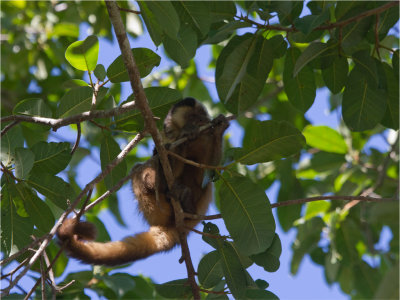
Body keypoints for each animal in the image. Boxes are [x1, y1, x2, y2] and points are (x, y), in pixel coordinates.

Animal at [57, 98, 230, 264]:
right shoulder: (166, 137)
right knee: (140, 169)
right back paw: (161, 182)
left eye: (202, 116)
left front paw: (219, 129)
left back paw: (187, 204)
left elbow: (209, 172)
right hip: (155, 212)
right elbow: (168, 153)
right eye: (193, 117)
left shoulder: (206, 138)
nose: (202, 121)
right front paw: (182, 138)